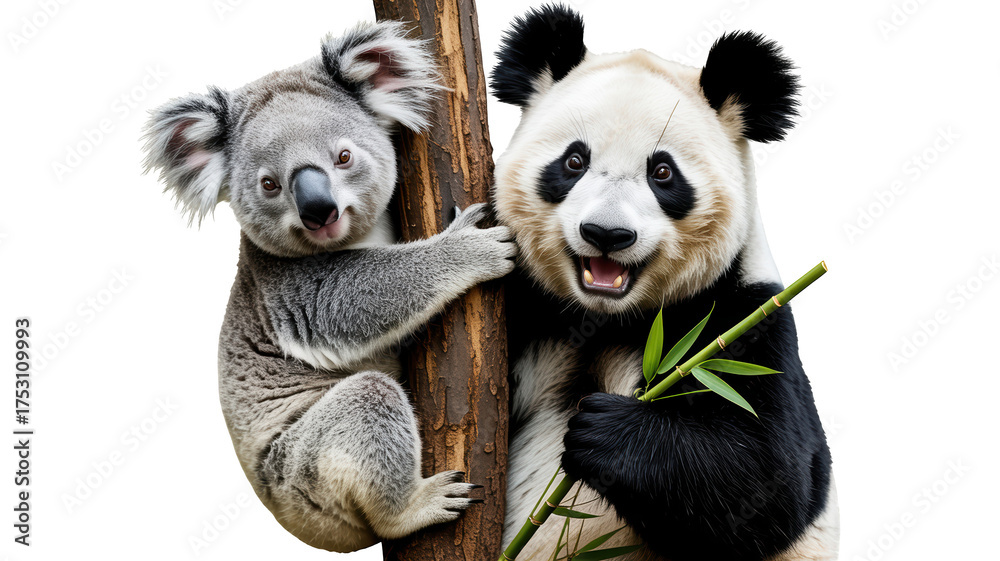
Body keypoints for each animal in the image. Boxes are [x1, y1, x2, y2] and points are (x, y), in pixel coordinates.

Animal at [489, 5, 838, 561]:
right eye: (574, 161)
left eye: (663, 172)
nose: (606, 234)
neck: (602, 318)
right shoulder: (528, 307)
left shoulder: (741, 321)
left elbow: (768, 478)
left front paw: (602, 429)